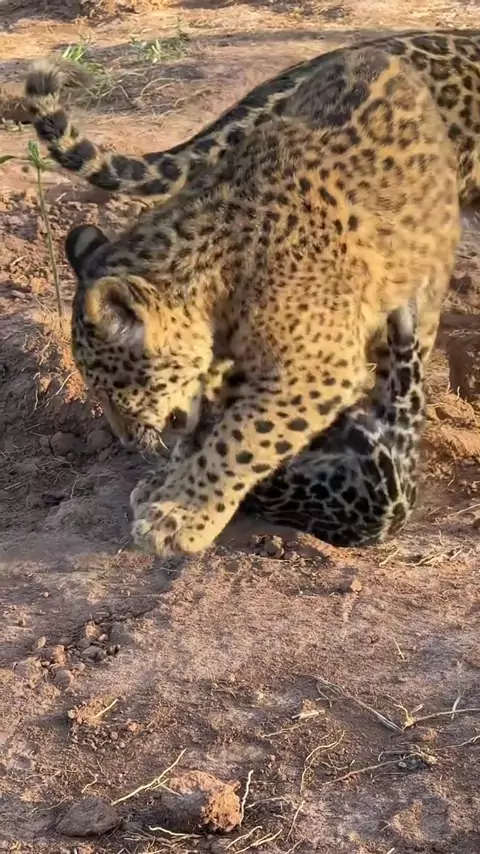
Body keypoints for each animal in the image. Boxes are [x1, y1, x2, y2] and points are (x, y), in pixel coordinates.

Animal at [50, 44, 460, 557]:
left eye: (113, 387)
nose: (126, 441)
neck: (218, 279)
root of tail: (374, 50)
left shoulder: (313, 371)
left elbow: (239, 441)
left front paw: (180, 516)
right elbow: (207, 431)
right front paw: (167, 485)